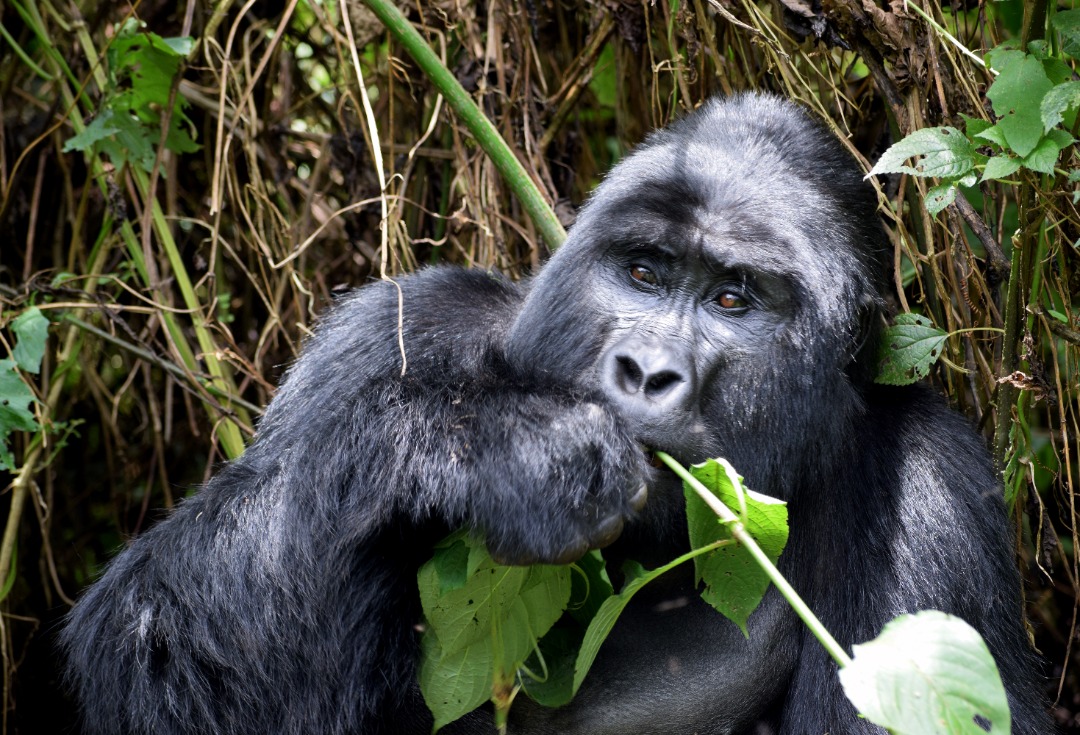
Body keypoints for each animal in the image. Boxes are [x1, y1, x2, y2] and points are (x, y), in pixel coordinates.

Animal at [59, 94, 1045, 729]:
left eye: (732, 298)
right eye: (643, 270)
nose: (646, 370)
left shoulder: (934, 488)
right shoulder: (398, 326)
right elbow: (141, 658)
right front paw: (496, 450)